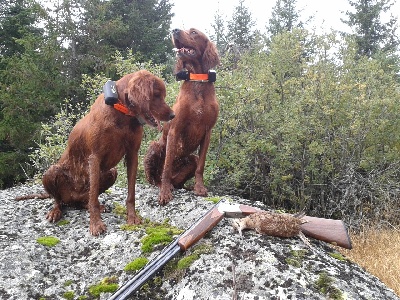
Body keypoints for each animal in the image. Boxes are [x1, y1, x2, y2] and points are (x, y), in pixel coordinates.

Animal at [14, 70, 174, 234]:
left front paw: (132, 217)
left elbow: (130, 194)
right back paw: (55, 211)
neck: (121, 113)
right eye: (156, 94)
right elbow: (93, 198)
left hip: (111, 172)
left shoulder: (132, 155)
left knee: (85, 200)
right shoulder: (95, 157)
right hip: (52, 172)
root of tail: (73, 198)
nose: (172, 115)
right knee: (59, 200)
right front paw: (96, 224)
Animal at [144, 28, 219, 204]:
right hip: (154, 146)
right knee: (155, 178)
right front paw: (164, 193)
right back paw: (165, 186)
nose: (174, 30)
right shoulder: (175, 130)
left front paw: (199, 187)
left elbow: (201, 166)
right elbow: (167, 165)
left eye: (194, 32)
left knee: (179, 180)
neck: (198, 81)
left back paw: (185, 186)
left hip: (192, 159)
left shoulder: (208, 132)